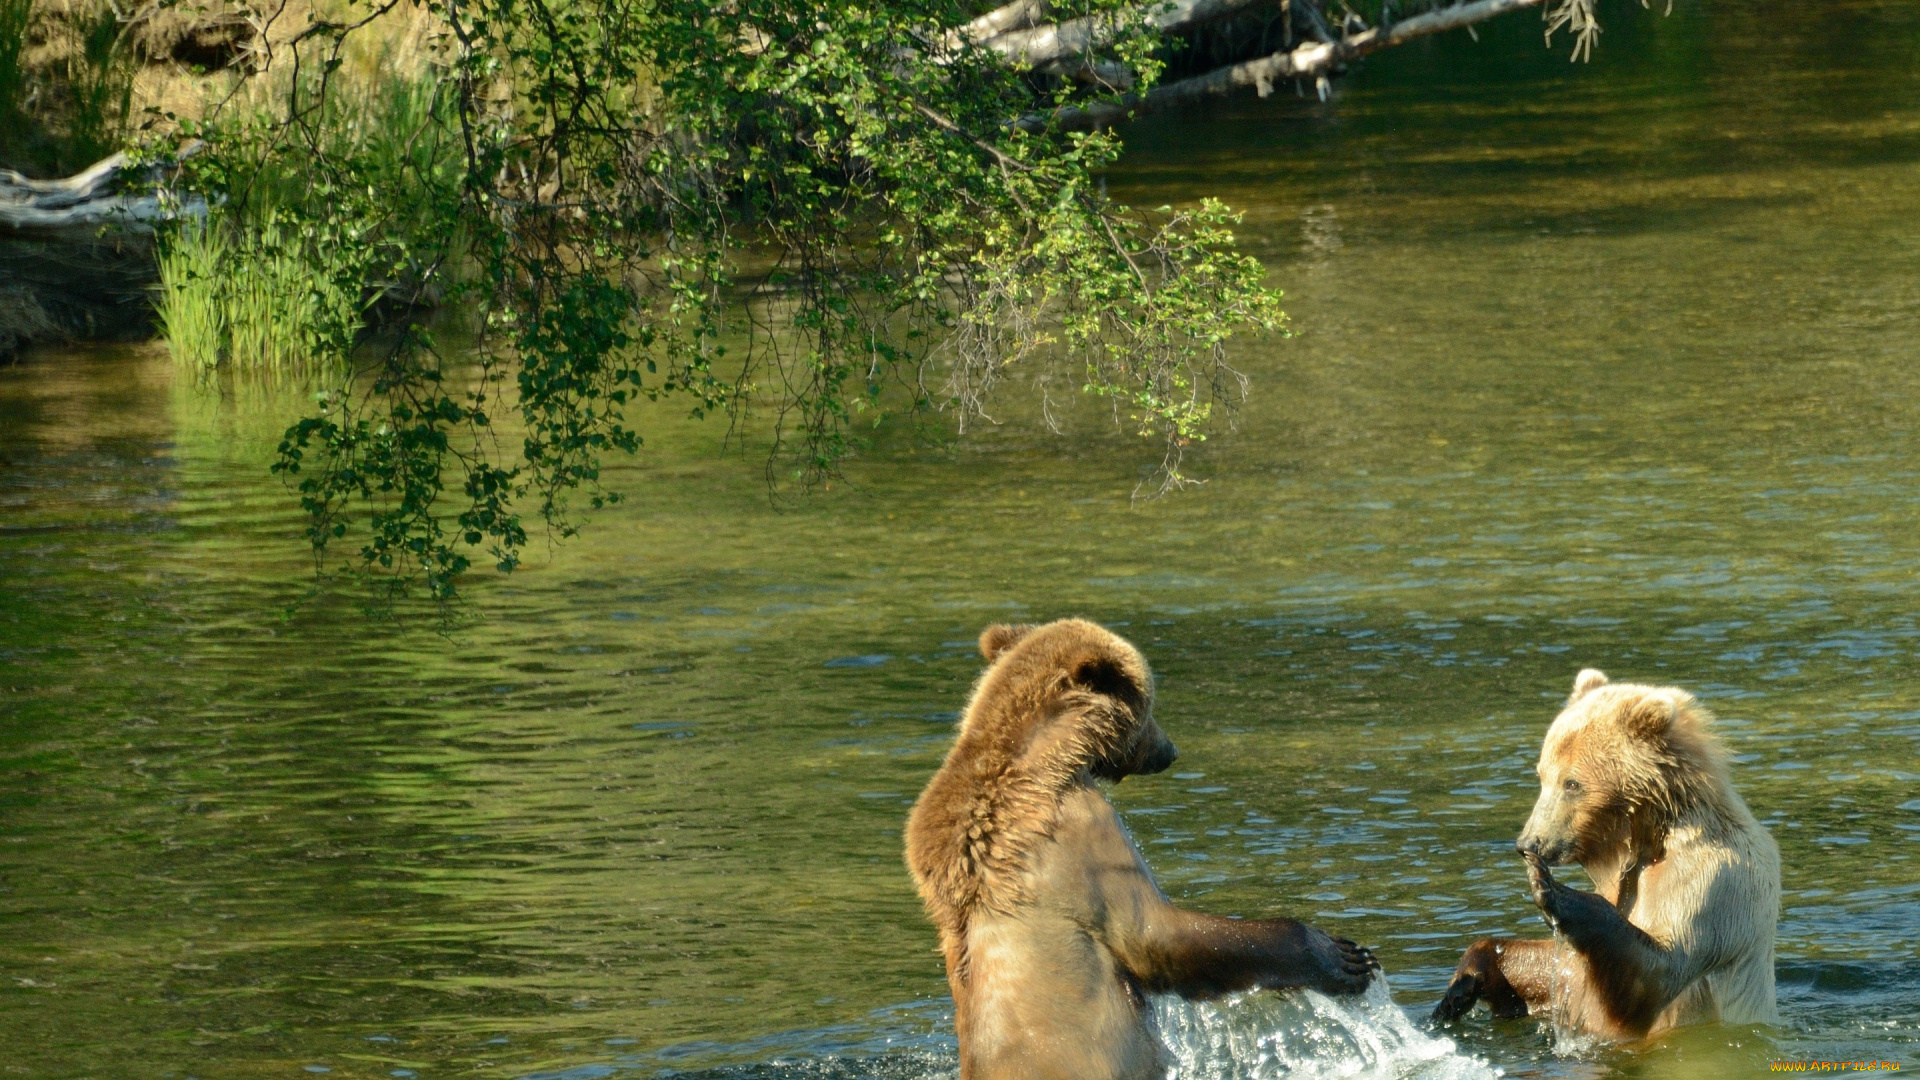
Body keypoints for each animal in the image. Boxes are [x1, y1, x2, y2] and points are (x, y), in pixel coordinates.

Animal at [906, 614, 1374, 1076]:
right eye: (1149, 707)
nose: (1169, 750)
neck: (1049, 755)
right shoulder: (1077, 834)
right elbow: (1151, 932)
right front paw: (1344, 955)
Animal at [1436, 664, 1774, 1037]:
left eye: (1572, 783)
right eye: (1542, 775)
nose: (1528, 843)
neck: (1646, 838)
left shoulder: (1712, 880)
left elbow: (1658, 972)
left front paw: (1555, 890)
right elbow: (1565, 967)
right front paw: (1462, 985)